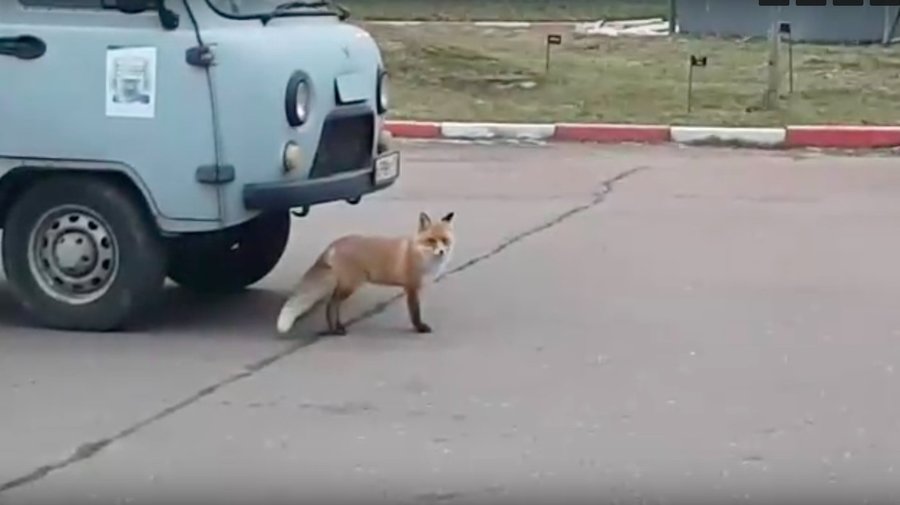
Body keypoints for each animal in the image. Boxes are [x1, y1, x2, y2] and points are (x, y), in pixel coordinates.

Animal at [275, 211, 456, 336]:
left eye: (445, 241)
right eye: (431, 241)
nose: (441, 251)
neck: (421, 255)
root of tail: (334, 244)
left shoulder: (418, 287)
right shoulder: (411, 287)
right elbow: (415, 313)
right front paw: (419, 328)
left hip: (346, 286)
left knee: (332, 305)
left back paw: (336, 327)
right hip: (350, 286)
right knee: (331, 305)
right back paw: (335, 330)